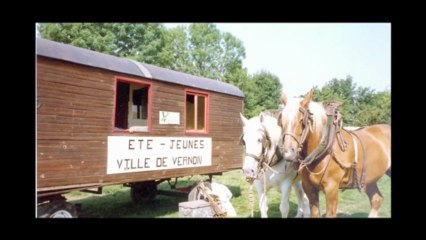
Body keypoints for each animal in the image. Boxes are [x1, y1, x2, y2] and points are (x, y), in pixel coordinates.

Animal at [278, 89, 392, 217]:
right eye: (281, 121)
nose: (288, 152)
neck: (323, 149)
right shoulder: (309, 188)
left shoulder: (331, 189)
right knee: (376, 199)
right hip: (369, 178)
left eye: (302, 121)